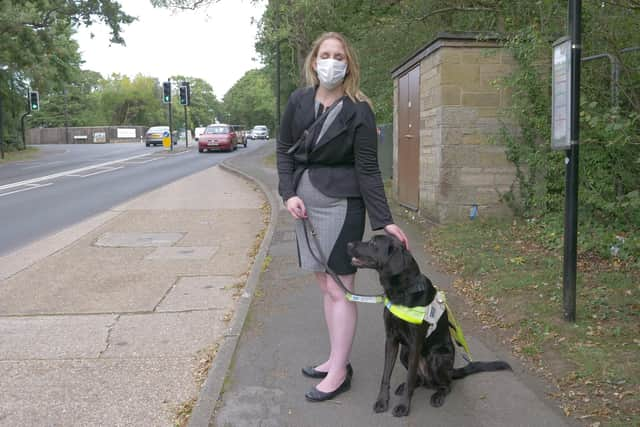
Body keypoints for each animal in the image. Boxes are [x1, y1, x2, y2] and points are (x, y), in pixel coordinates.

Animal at [344, 234, 510, 418]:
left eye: (373, 243)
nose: (348, 244)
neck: (402, 292)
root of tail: (451, 370)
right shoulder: (391, 340)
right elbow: (386, 375)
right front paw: (382, 401)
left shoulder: (415, 344)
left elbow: (409, 377)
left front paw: (403, 407)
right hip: (405, 353)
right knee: (419, 378)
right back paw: (406, 386)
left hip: (437, 358)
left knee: (446, 384)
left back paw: (438, 395)